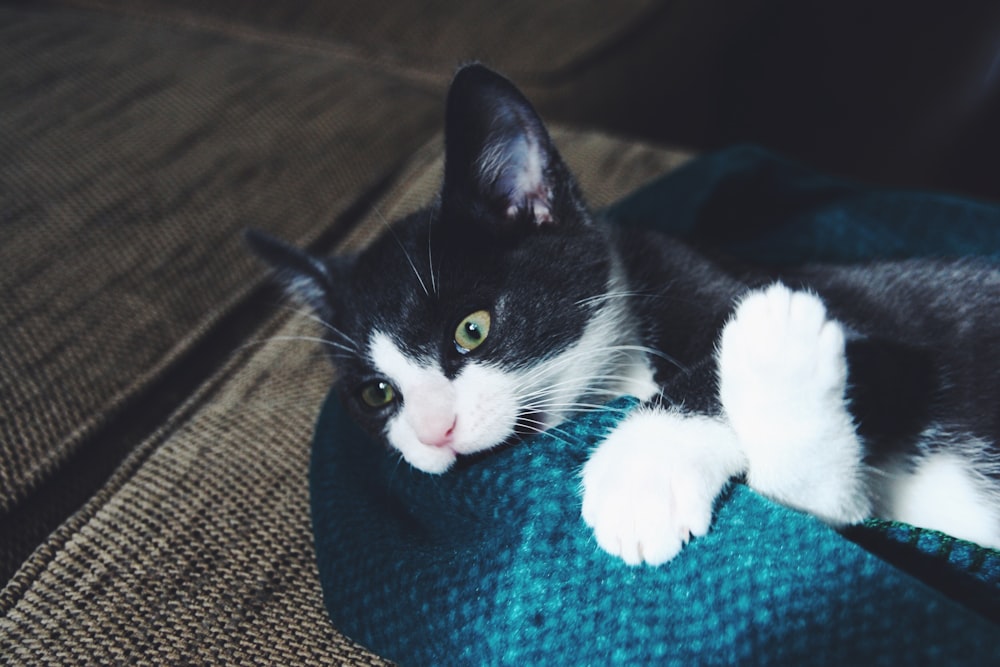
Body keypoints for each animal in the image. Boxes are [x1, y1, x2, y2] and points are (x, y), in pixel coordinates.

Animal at [244, 62, 1000, 568]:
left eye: (473, 328)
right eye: (377, 393)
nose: (435, 432)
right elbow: (823, 504)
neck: (623, 369)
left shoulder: (865, 330)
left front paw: (647, 465)